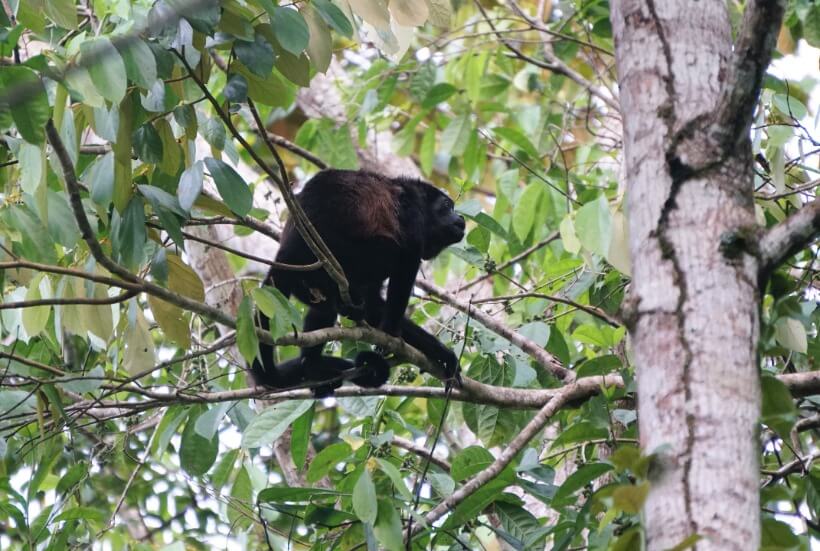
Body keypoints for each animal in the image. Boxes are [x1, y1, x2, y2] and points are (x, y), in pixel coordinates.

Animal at [250, 168, 468, 396]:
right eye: (447, 206)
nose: (460, 217)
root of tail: (288, 249)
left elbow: (374, 305)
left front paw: (441, 353)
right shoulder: (413, 216)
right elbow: (406, 262)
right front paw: (390, 333)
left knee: (324, 308)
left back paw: (312, 363)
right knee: (390, 250)